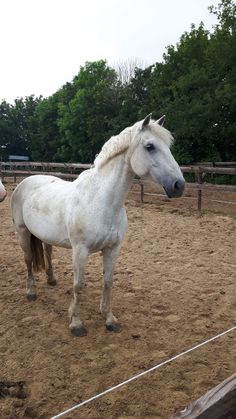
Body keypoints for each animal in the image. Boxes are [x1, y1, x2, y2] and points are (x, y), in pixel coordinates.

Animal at [11, 115, 185, 338]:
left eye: (169, 146)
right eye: (150, 146)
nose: (179, 185)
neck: (101, 201)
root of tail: (26, 181)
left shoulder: (112, 249)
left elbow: (108, 282)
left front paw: (109, 318)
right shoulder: (80, 251)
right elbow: (78, 285)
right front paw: (76, 323)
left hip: (43, 235)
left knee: (47, 252)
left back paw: (51, 280)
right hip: (22, 233)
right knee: (28, 260)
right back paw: (31, 292)